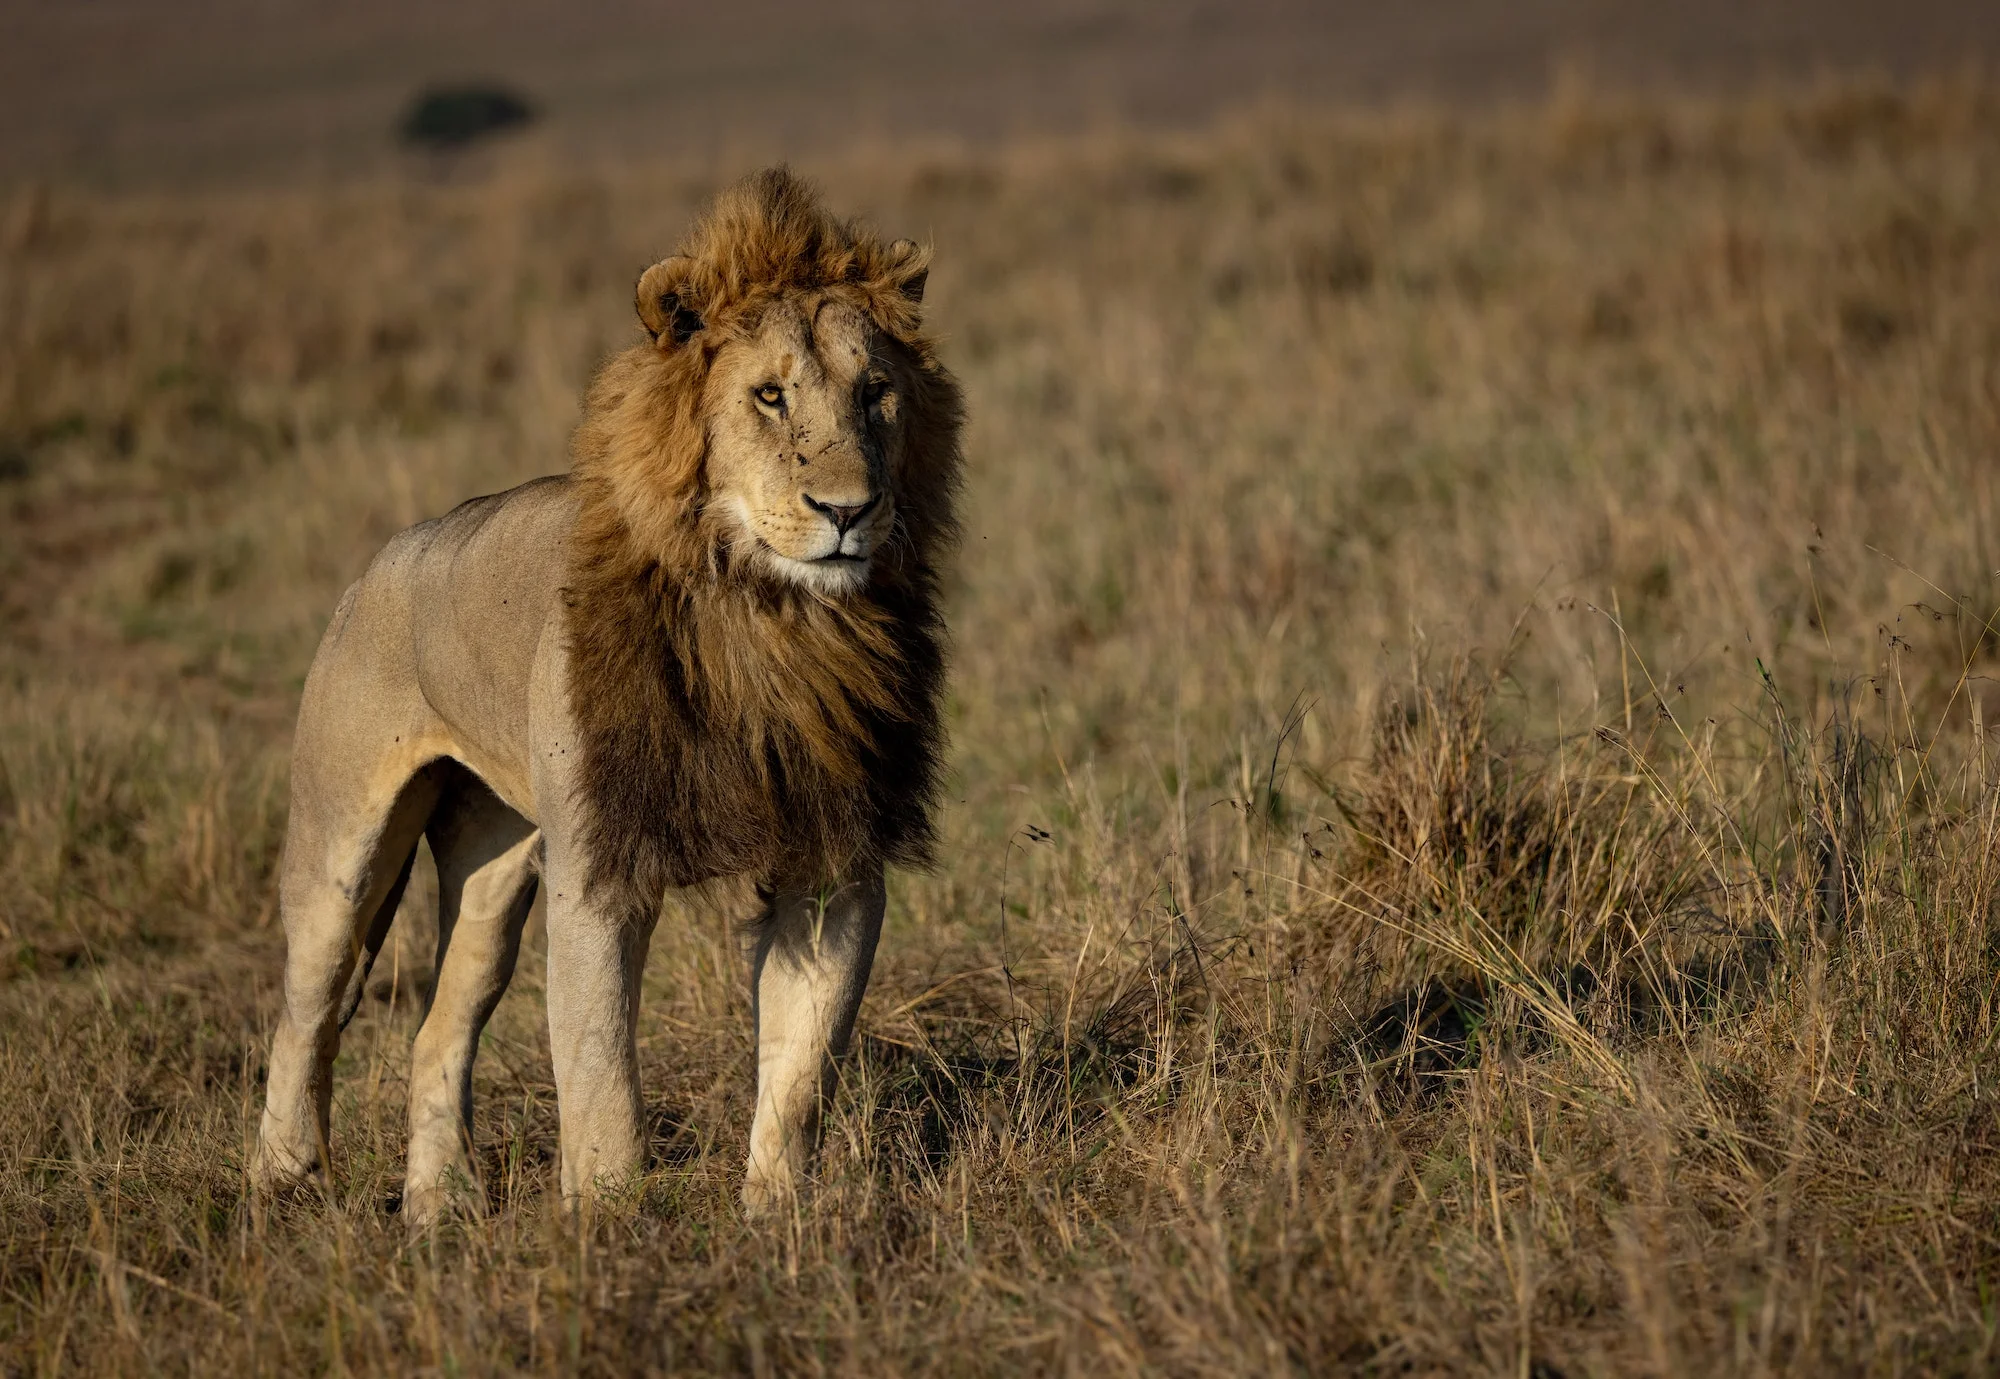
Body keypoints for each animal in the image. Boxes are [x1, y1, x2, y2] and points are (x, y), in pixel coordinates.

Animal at [256, 168, 960, 1215]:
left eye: (878, 394)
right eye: (770, 396)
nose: (848, 510)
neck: (768, 619)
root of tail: (383, 560)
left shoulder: (833, 857)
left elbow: (801, 1067)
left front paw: (777, 1218)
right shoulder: (600, 869)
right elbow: (599, 1081)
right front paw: (609, 1222)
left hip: (493, 863)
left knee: (436, 1030)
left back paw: (438, 1207)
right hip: (342, 850)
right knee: (303, 1013)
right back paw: (281, 1178)